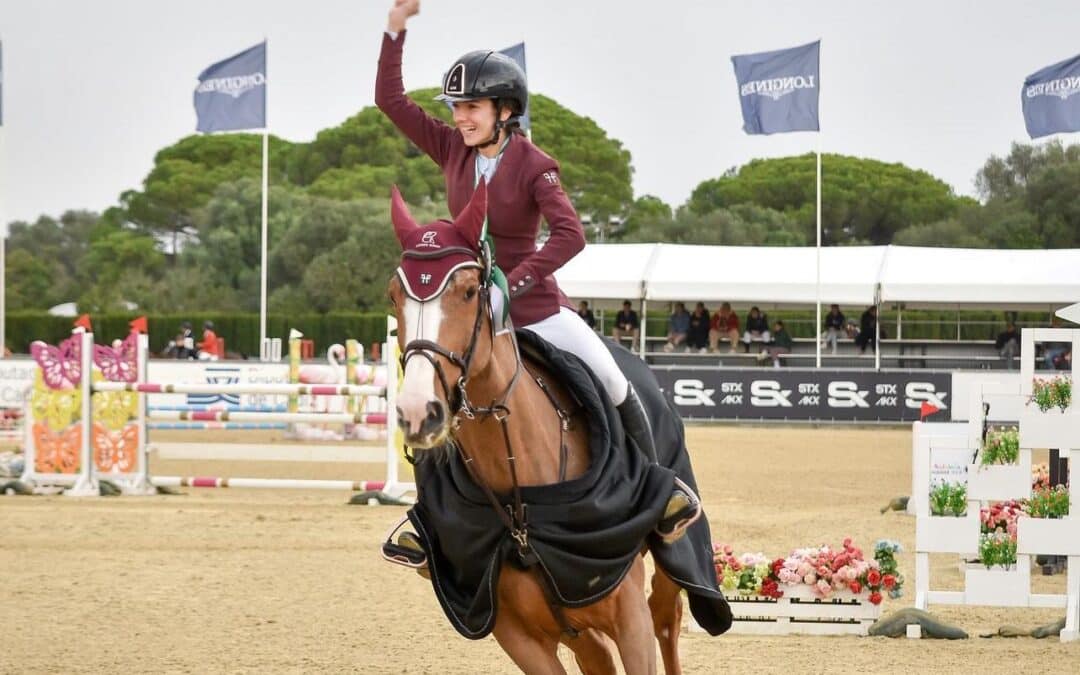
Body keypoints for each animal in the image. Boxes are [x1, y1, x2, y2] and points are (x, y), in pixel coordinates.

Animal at [390, 181, 682, 669]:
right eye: (393, 296)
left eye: (468, 292)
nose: (418, 411)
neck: (521, 500)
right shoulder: (517, 634)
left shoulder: (629, 619)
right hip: (572, 626)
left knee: (667, 619)